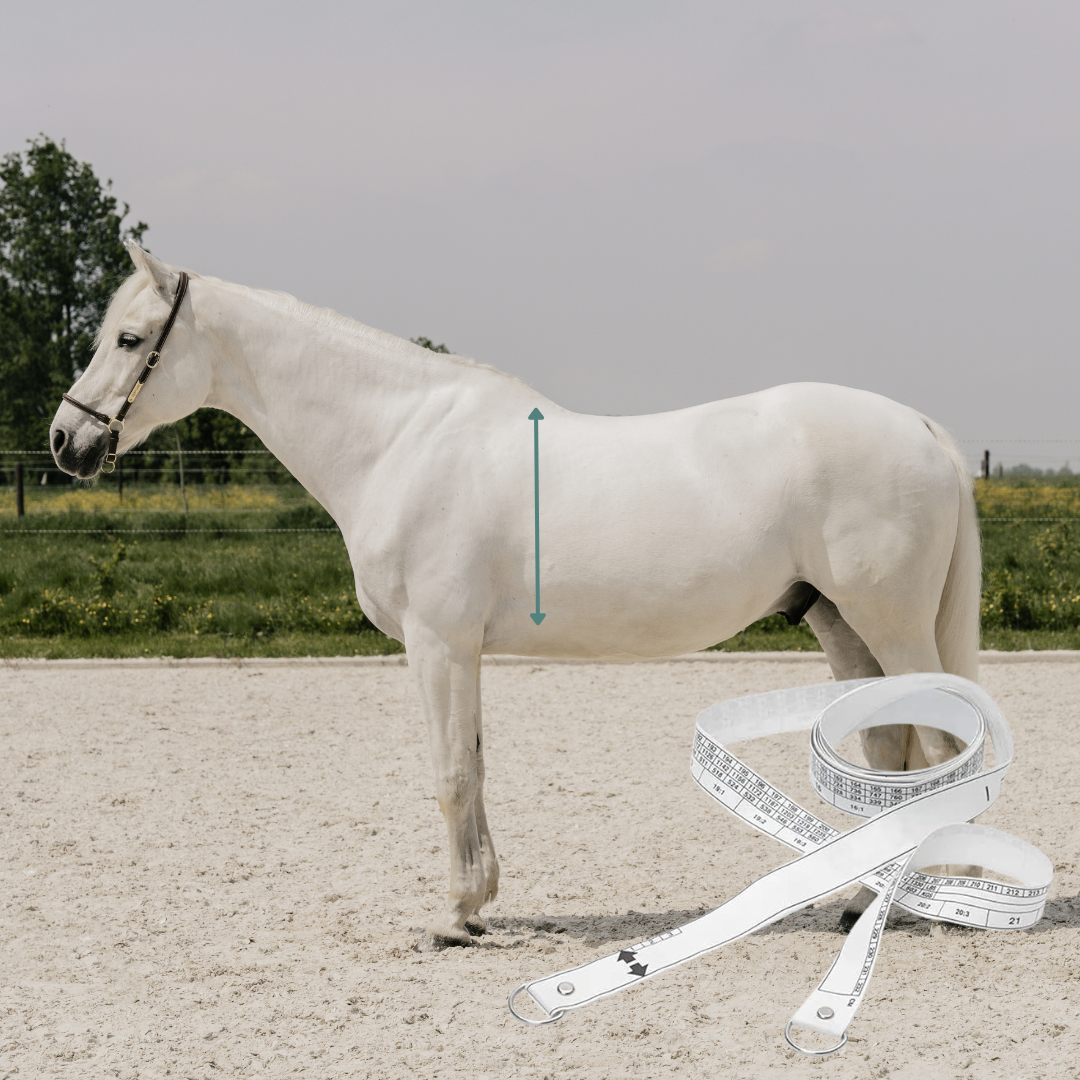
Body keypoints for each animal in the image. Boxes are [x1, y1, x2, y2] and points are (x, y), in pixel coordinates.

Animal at [50, 243, 980, 947]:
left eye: (130, 339)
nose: (65, 440)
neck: (400, 439)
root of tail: (919, 426)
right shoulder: (460, 649)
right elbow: (476, 763)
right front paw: (479, 902)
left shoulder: (437, 642)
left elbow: (451, 771)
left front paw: (456, 916)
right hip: (840, 622)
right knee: (888, 749)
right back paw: (861, 903)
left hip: (888, 620)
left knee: (939, 747)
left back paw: (946, 901)